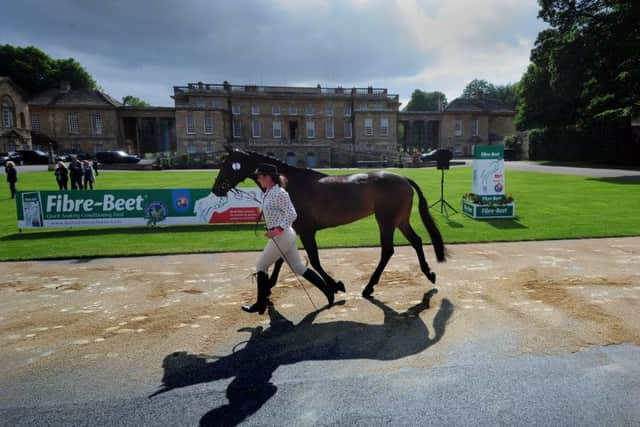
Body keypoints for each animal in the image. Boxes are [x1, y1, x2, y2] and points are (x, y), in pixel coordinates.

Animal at [212, 146, 442, 298]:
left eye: (230, 164)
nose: (216, 188)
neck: (288, 184)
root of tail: (403, 178)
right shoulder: (289, 229)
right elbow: (281, 258)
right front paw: (268, 285)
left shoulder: (306, 231)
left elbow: (314, 260)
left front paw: (334, 285)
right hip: (399, 220)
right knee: (416, 241)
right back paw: (429, 273)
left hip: (385, 220)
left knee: (387, 250)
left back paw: (369, 286)